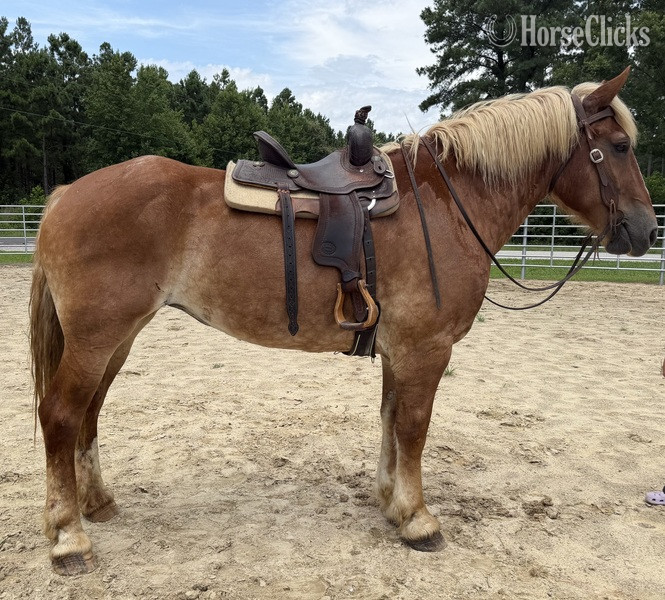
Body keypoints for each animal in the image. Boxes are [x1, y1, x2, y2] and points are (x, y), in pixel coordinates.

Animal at [29, 68, 658, 575]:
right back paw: (69, 539)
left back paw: (96, 505)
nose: (646, 231)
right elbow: (414, 427)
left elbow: (391, 421)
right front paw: (419, 520)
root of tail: (65, 194)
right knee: (61, 415)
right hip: (97, 338)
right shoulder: (428, 349)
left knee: (88, 414)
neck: (447, 205)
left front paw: (391, 502)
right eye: (620, 145)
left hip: (118, 339)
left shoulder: (400, 349)